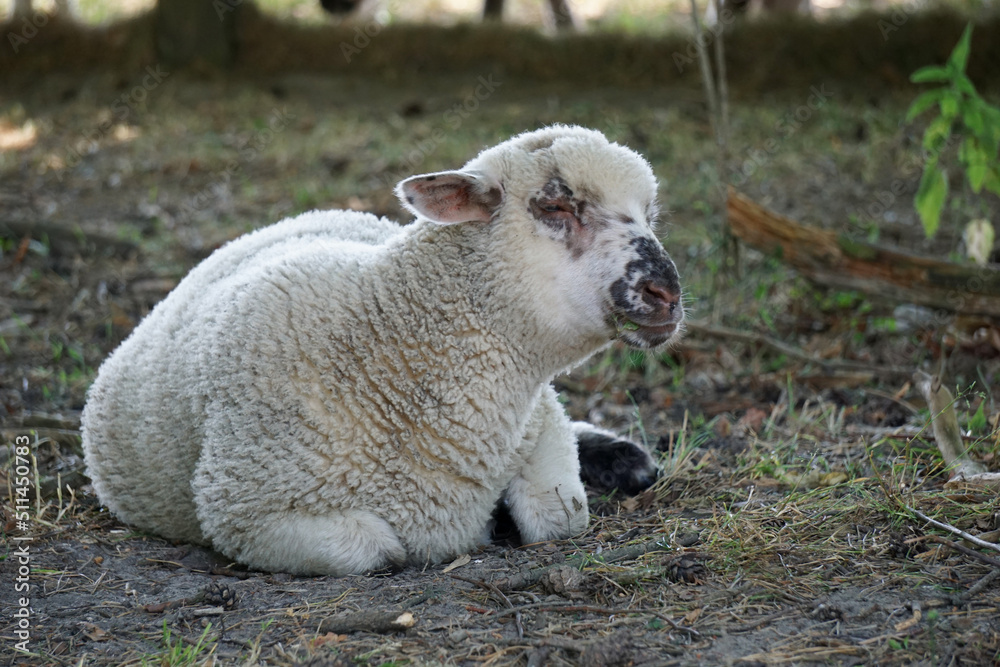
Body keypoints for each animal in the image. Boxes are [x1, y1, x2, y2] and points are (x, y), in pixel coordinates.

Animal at [81, 125, 684, 576]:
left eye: (649, 214)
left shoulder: (541, 425)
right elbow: (380, 549)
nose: (668, 292)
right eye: (556, 205)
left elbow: (561, 515)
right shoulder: (248, 510)